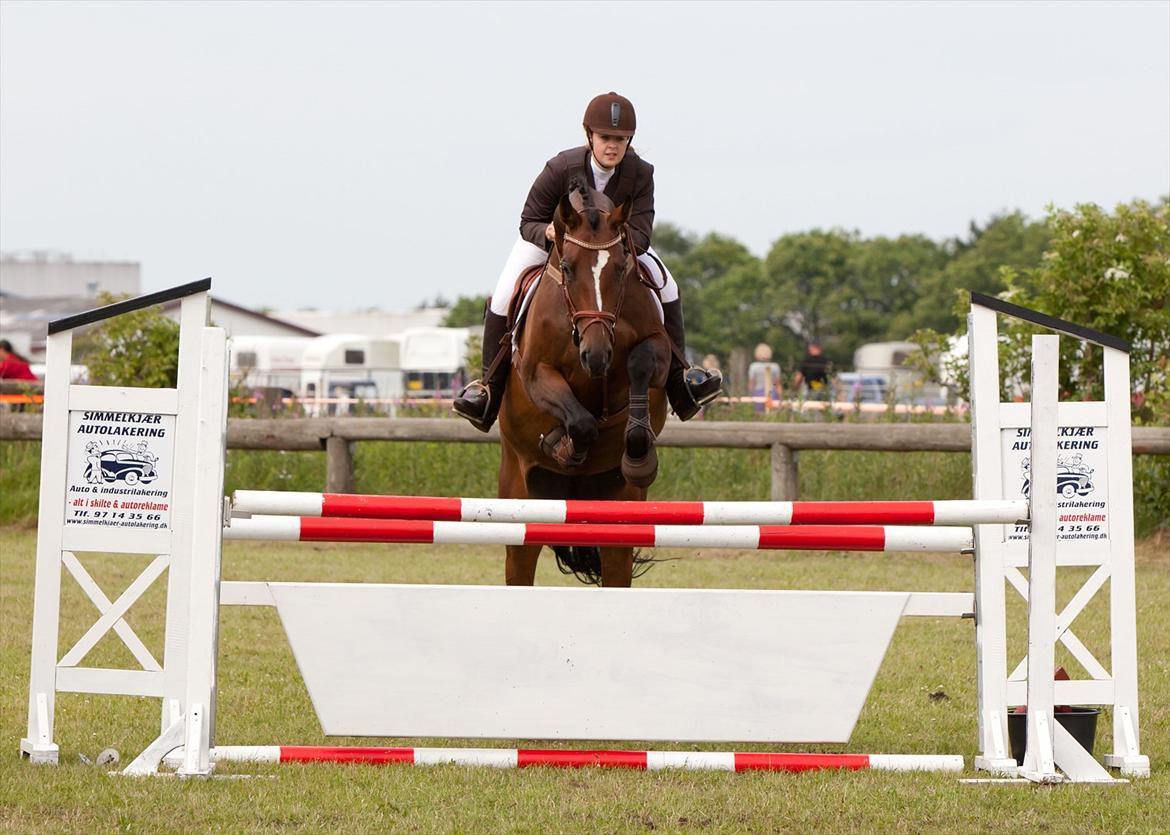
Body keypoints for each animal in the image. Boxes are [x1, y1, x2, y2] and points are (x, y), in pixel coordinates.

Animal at [498, 180, 673, 584]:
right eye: (566, 267)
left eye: (621, 268)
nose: (595, 356)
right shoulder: (536, 372)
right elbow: (580, 421)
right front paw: (564, 447)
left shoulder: (657, 349)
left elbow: (639, 366)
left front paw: (640, 457)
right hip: (519, 500)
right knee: (520, 562)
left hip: (620, 510)